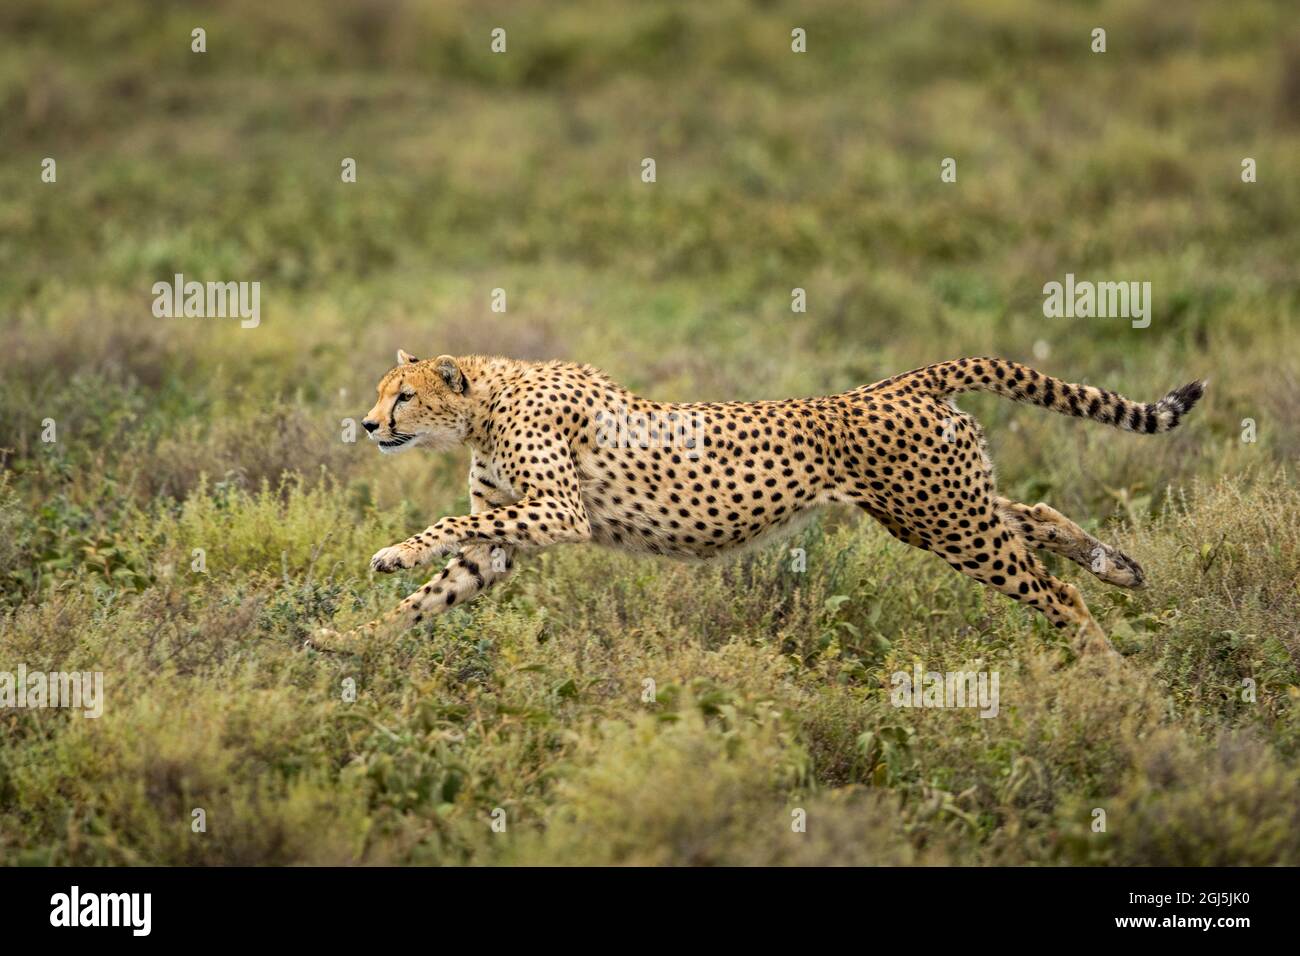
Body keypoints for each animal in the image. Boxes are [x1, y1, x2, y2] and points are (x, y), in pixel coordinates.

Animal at [309, 351, 1201, 658]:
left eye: (402, 395)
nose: (368, 423)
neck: (488, 399)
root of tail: (907, 379)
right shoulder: (506, 542)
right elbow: (435, 593)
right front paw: (346, 643)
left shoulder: (559, 514)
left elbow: (452, 524)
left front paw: (392, 552)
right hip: (933, 513)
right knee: (1037, 520)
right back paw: (1120, 568)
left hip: (947, 523)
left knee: (1055, 593)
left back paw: (1115, 678)